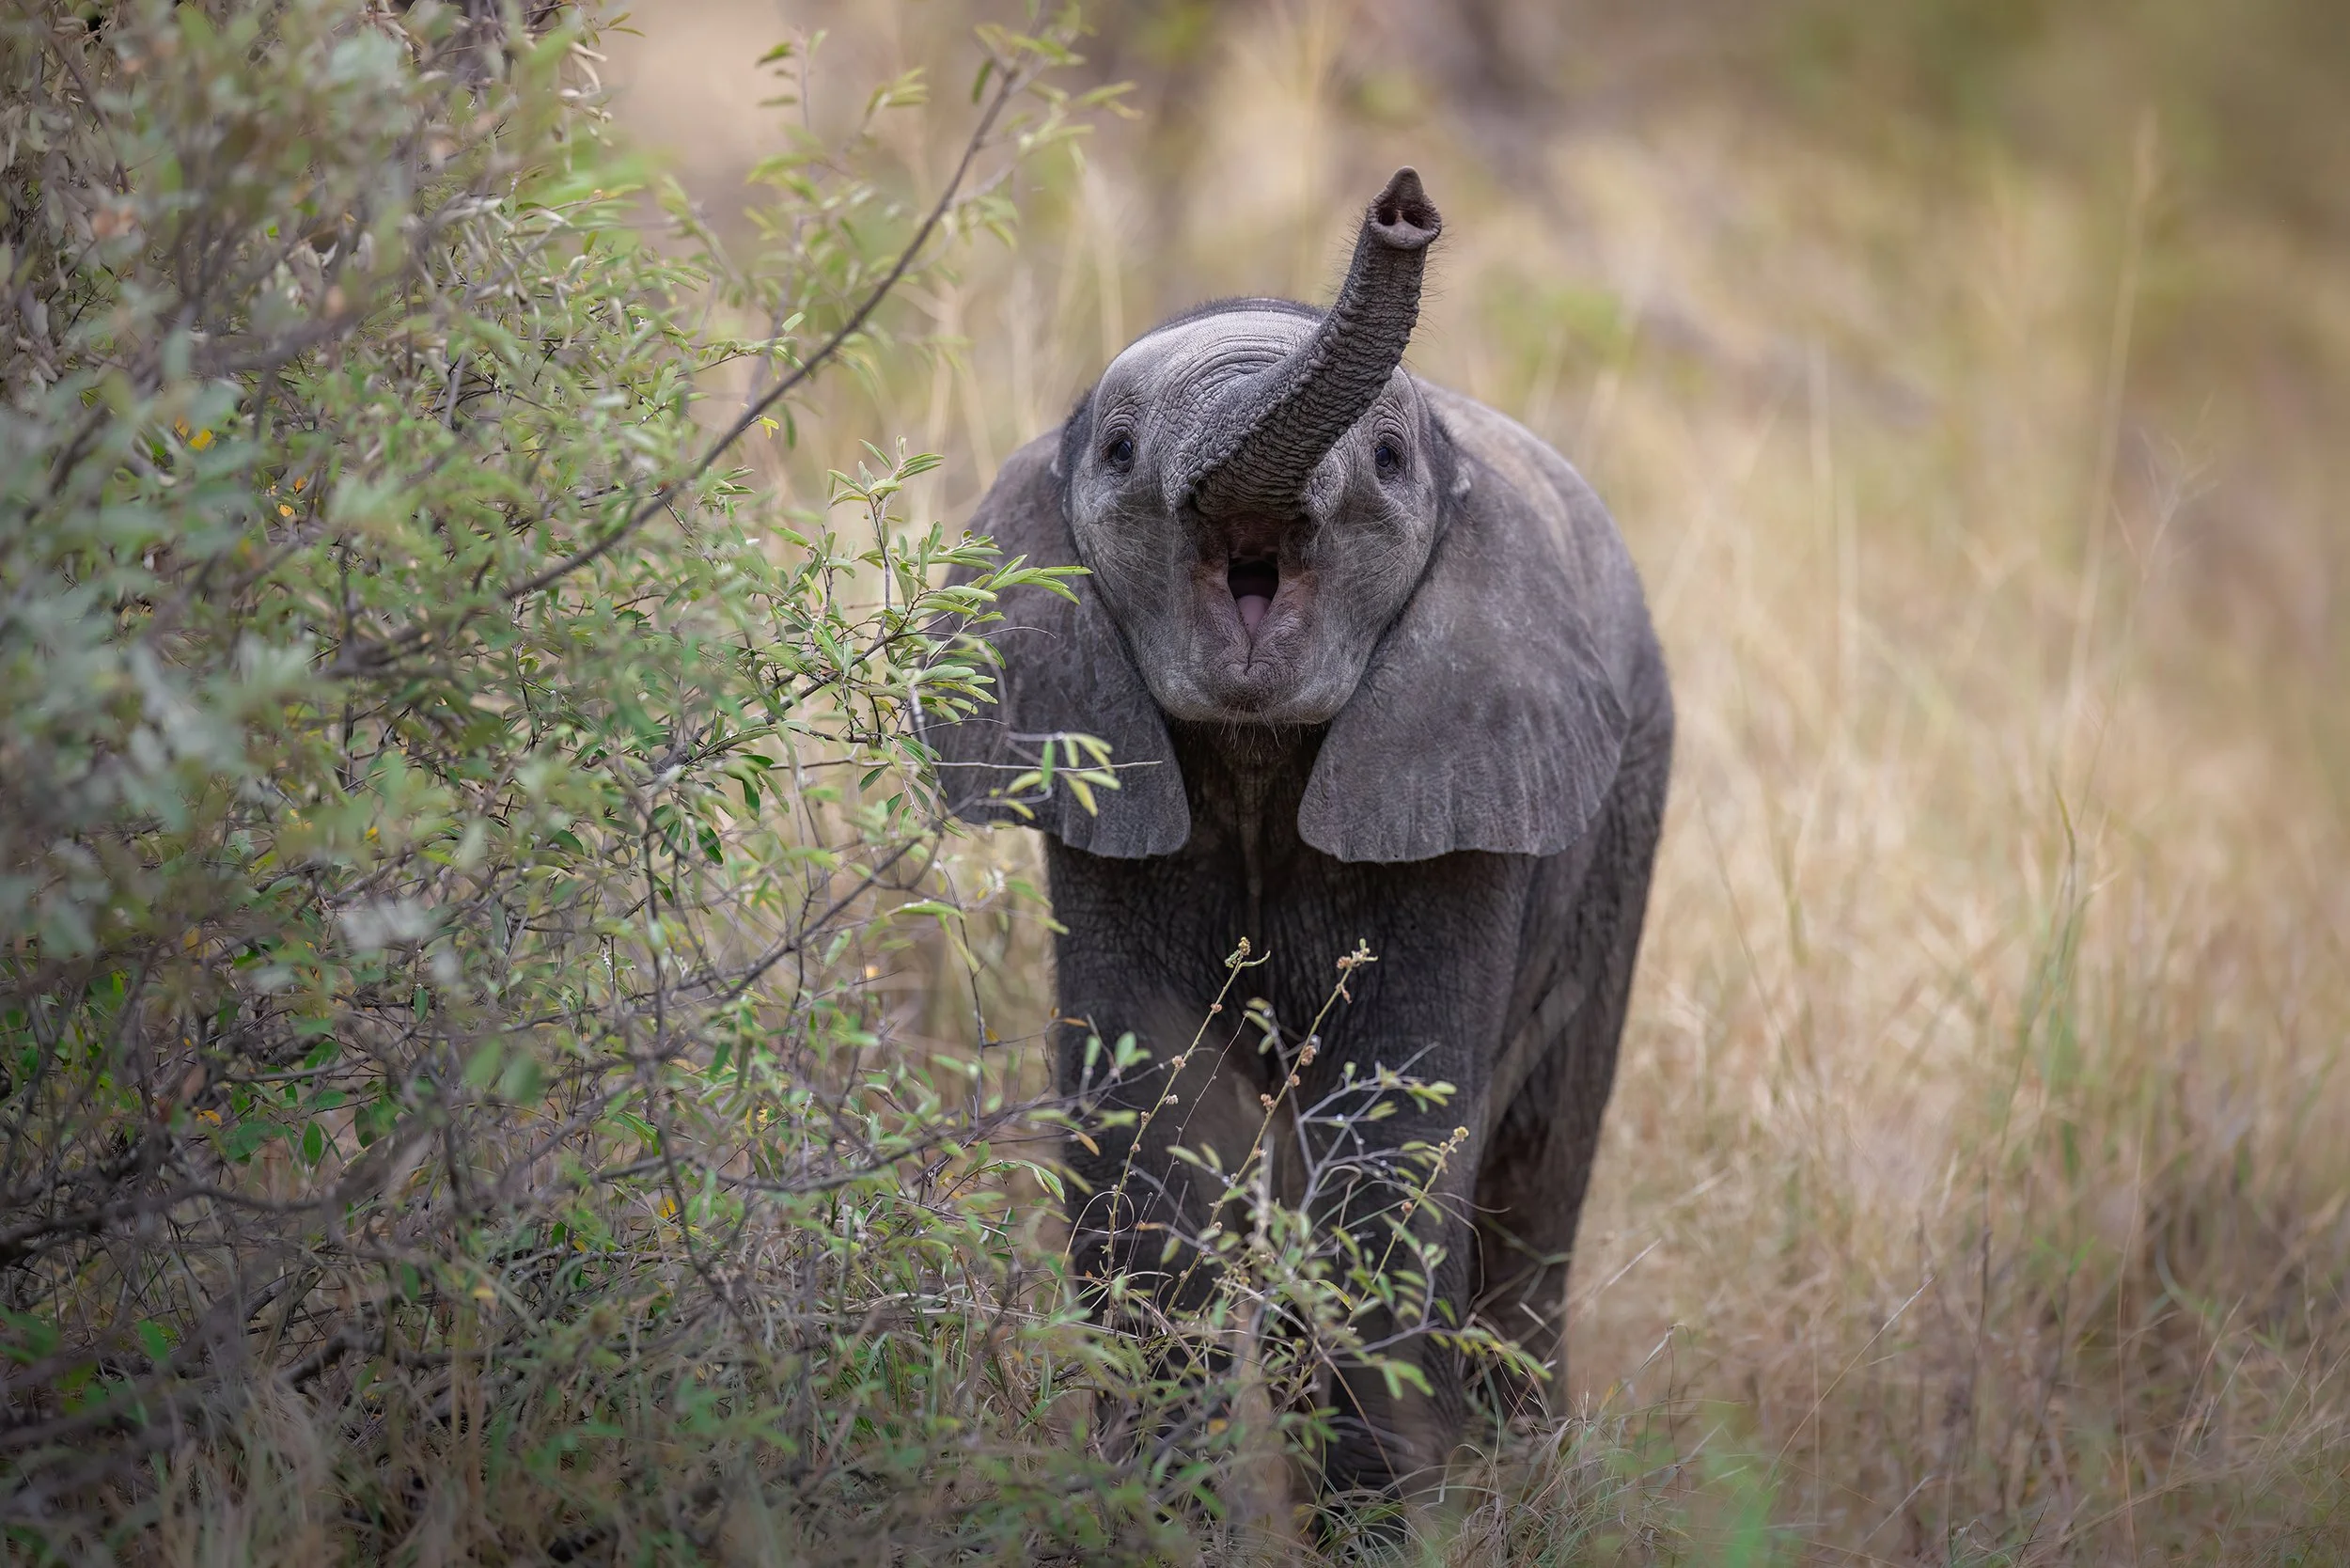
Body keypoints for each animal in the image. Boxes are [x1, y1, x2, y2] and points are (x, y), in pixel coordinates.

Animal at [926, 168, 1673, 1501]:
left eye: (1387, 457)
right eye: (1117, 451)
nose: (1405, 205)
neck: (1259, 746)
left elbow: (1391, 1144)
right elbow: (1153, 1134)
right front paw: (1159, 1512)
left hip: (1629, 812)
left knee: (1533, 1195)